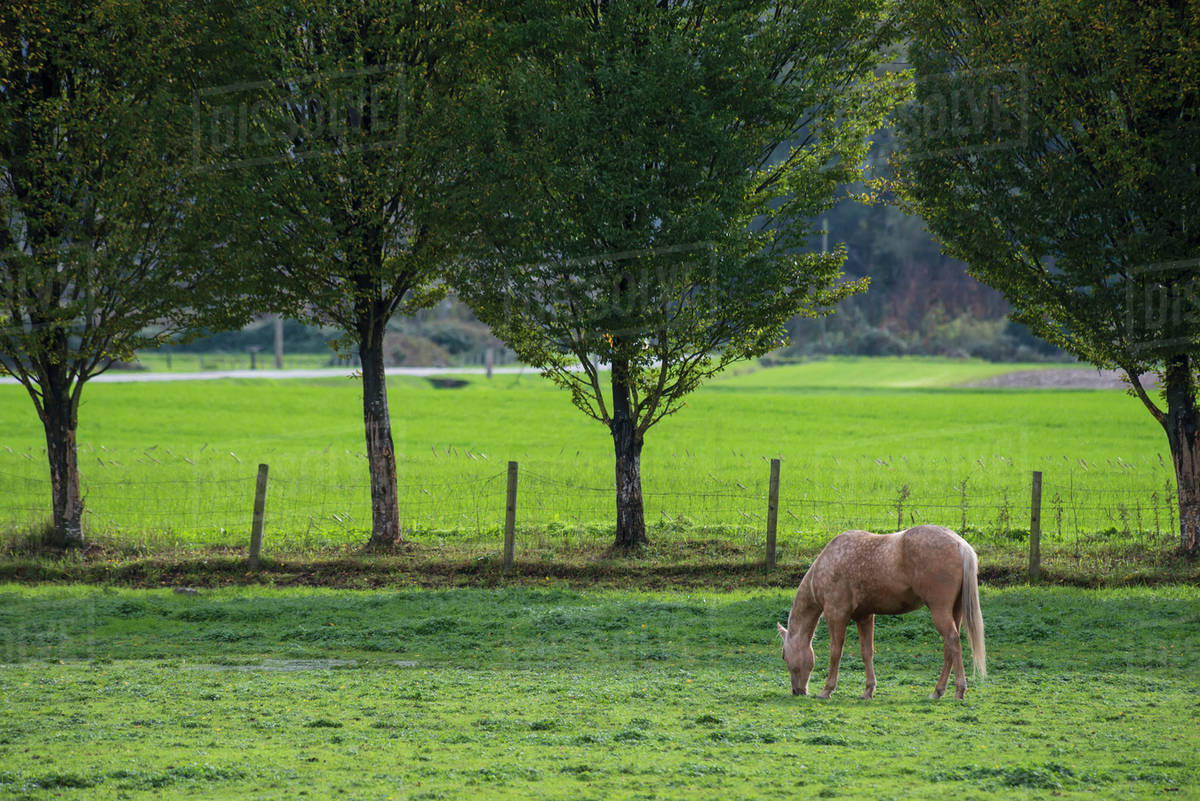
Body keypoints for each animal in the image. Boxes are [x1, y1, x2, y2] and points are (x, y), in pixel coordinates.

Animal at [776, 524, 986, 700]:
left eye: (784, 656)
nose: (797, 691)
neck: (828, 562)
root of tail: (959, 543)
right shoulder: (864, 616)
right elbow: (867, 652)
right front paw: (868, 690)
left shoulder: (836, 614)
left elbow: (835, 652)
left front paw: (827, 690)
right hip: (955, 611)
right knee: (949, 647)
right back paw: (938, 691)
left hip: (940, 611)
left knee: (953, 641)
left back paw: (959, 690)